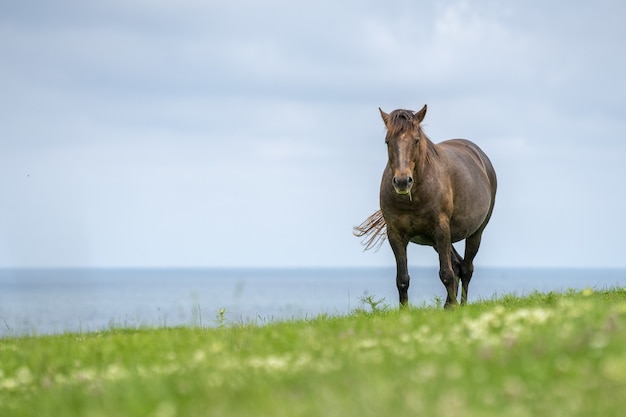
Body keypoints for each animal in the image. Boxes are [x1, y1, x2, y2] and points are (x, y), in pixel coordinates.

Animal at [354, 105, 494, 306]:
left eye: (416, 140)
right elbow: (402, 279)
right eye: (388, 142)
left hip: (475, 233)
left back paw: (461, 305)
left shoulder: (441, 230)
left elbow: (446, 274)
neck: (414, 199)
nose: (402, 182)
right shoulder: (395, 235)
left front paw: (454, 307)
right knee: (458, 265)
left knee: (466, 268)